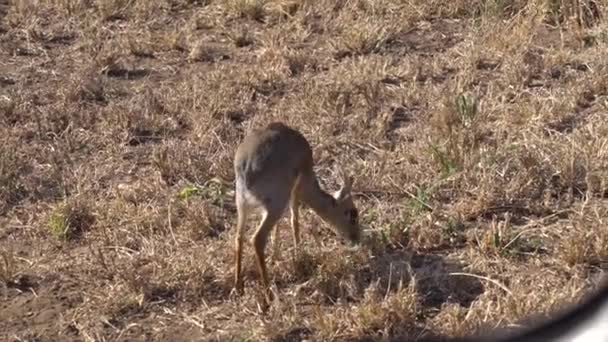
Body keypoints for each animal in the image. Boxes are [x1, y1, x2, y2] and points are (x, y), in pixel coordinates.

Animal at [230, 121, 358, 298]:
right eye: (352, 214)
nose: (356, 238)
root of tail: (246, 168)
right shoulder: (295, 189)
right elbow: (294, 221)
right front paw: (299, 255)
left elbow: (279, 227)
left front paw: (275, 256)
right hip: (274, 205)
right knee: (257, 239)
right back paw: (268, 293)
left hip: (242, 205)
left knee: (239, 237)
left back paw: (238, 286)